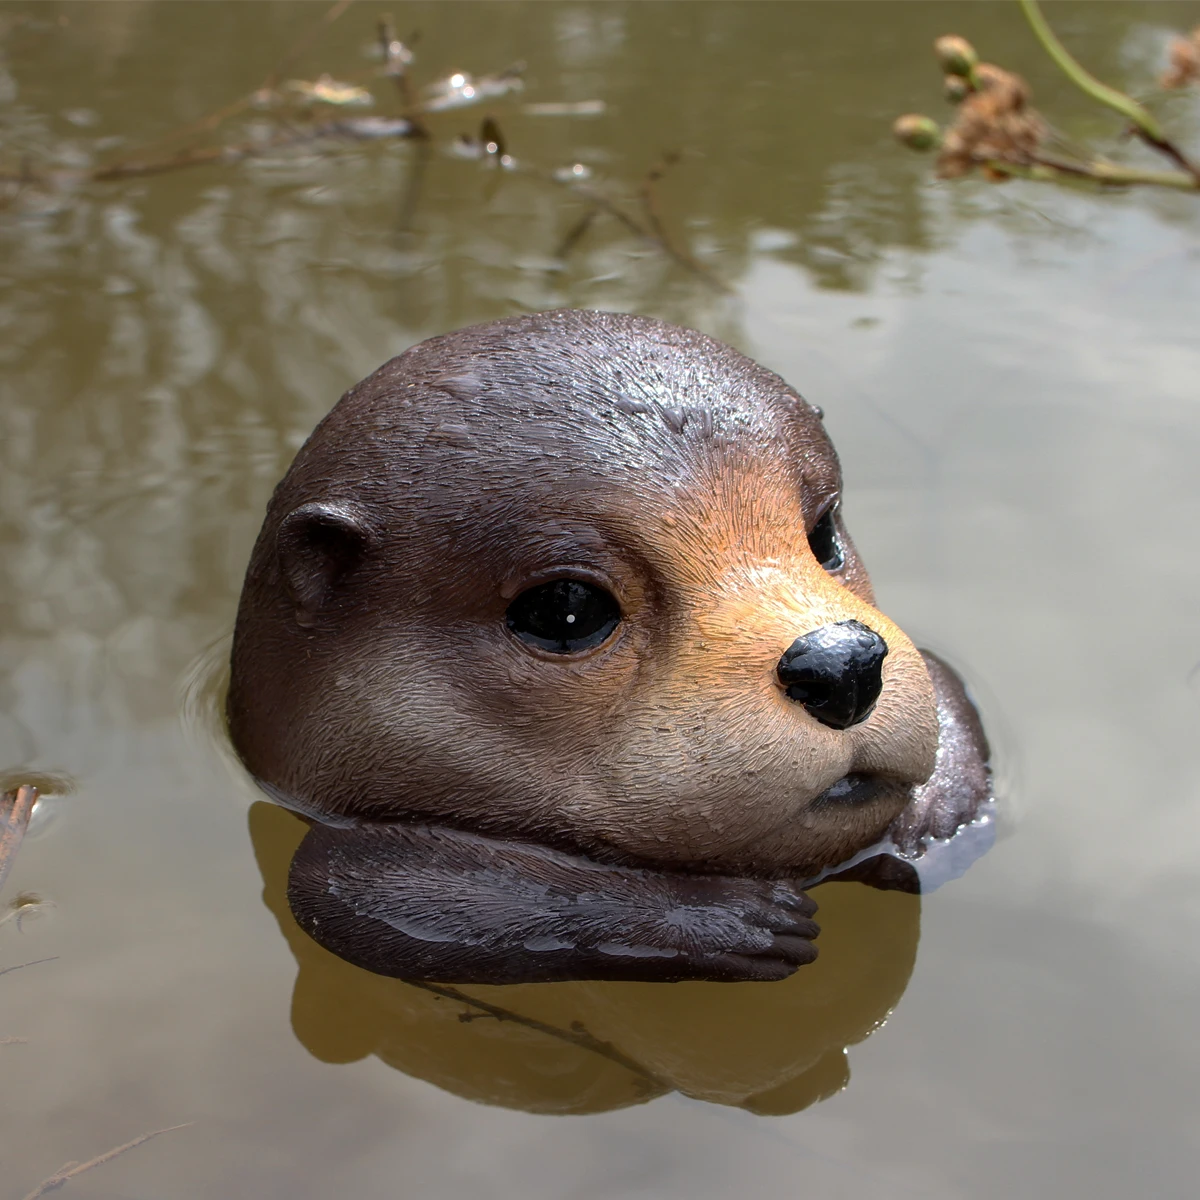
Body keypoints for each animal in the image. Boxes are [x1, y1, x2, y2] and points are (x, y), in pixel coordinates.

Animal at [228, 309, 991, 985]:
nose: (843, 664)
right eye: (566, 610)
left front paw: (930, 819)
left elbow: (947, 681)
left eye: (825, 532)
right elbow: (342, 888)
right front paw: (722, 918)